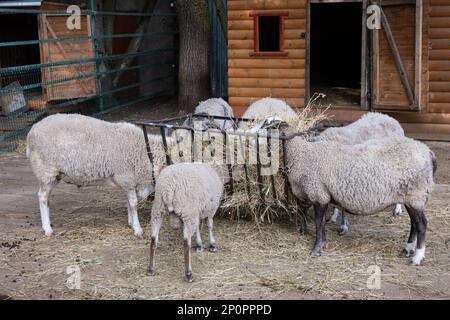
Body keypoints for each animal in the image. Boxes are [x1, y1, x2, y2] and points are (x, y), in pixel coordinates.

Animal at [26, 114, 174, 236]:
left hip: (54, 175)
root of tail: (31, 133)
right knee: (42, 197)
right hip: (46, 171)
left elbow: (128, 201)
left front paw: (131, 222)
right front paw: (137, 229)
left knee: (46, 198)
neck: (147, 154)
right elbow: (133, 203)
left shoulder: (128, 181)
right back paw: (47, 228)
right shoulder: (126, 176)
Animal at [284, 131, 436, 266]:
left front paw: (316, 249)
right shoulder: (321, 196)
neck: (303, 153)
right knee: (414, 224)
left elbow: (318, 223)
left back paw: (417, 257)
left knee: (422, 224)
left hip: (416, 195)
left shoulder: (318, 194)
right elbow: (319, 222)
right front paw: (320, 242)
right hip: (410, 197)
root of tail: (428, 151)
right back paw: (407, 249)